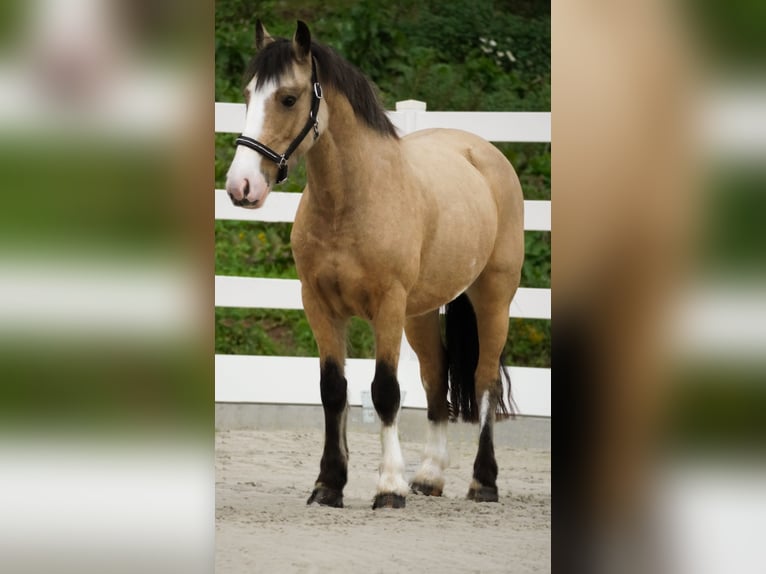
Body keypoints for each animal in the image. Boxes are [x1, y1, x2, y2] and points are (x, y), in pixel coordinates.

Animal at [226, 20, 528, 510]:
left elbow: (385, 392)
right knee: (435, 379)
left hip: (492, 299)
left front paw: (388, 486)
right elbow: (333, 391)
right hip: (421, 312)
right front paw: (328, 484)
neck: (351, 200)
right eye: (248, 94)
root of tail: (482, 151)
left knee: (484, 383)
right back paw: (429, 476)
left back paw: (483, 482)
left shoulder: (387, 305)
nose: (241, 186)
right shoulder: (319, 305)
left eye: (288, 98)